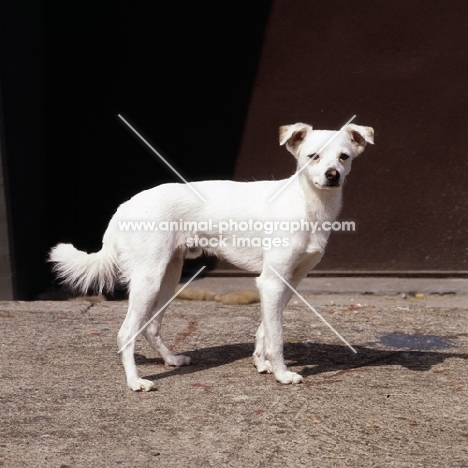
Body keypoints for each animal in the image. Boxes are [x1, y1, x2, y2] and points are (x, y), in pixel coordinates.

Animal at [49, 121, 374, 392]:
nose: (332, 175)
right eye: (313, 156)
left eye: (344, 157)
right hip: (148, 279)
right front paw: (282, 374)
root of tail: (124, 206)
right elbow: (277, 336)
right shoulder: (271, 281)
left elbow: (266, 329)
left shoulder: (288, 282)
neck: (306, 203)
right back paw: (135, 382)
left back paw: (171, 360)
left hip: (168, 277)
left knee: (151, 326)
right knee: (126, 332)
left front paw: (261, 362)